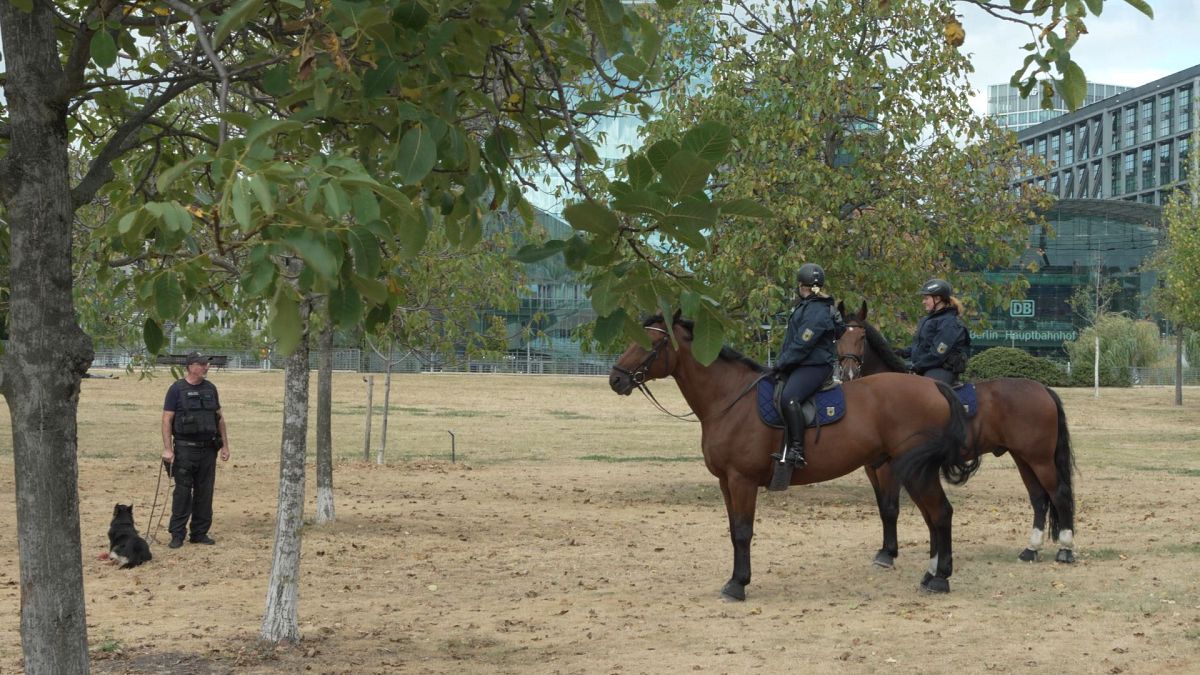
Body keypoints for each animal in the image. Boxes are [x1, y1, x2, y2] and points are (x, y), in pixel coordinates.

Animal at [609, 314, 974, 598]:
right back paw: (931, 574)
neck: (731, 399)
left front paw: (738, 585)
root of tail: (934, 387)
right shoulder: (727, 483)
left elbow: (743, 531)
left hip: (915, 470)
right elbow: (733, 530)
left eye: (648, 342)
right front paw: (734, 579)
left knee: (940, 513)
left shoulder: (742, 481)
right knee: (932, 516)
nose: (616, 379)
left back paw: (940, 579)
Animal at [835, 299, 1080, 562]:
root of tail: (1043, 389)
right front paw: (885, 549)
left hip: (1040, 459)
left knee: (1059, 494)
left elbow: (890, 508)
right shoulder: (872, 468)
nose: (848, 373)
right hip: (1023, 458)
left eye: (861, 336)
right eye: (838, 336)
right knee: (1039, 497)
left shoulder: (889, 468)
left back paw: (1065, 550)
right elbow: (882, 507)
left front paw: (888, 553)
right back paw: (1031, 549)